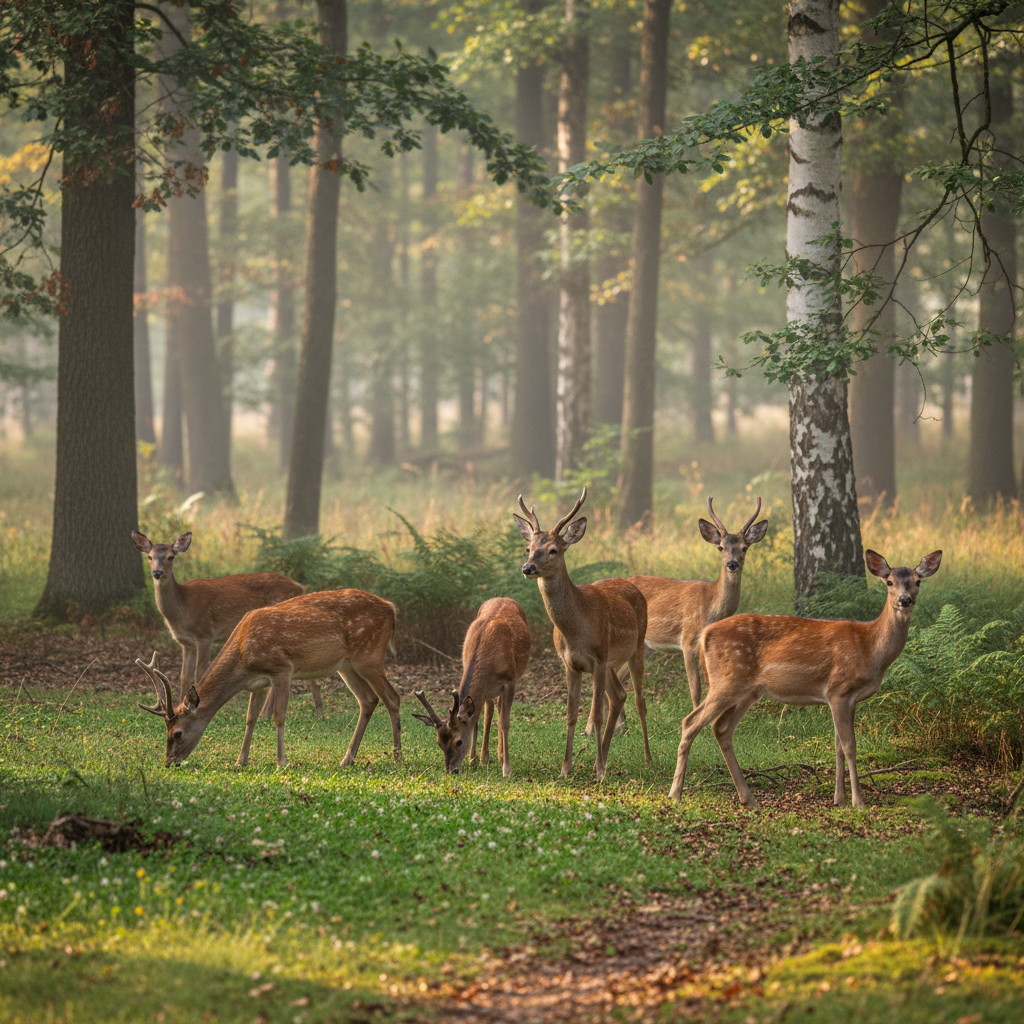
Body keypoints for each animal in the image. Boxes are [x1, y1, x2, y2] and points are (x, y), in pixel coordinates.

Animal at [131, 531, 323, 716]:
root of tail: (300, 587)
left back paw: (311, 713)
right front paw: (179, 706)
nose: (157, 573)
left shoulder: (205, 634)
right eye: (149, 556)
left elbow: (199, 672)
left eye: (171, 557)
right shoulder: (186, 643)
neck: (183, 607)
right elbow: (183, 676)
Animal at [136, 588, 402, 768]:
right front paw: (240, 760)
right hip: (346, 665)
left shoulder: (282, 668)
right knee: (368, 700)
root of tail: (392, 608)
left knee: (392, 697)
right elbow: (250, 718)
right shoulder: (258, 682)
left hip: (370, 656)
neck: (243, 655)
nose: (169, 761)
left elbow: (279, 716)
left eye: (177, 733)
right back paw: (347, 758)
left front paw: (282, 761)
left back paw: (397, 756)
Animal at [412, 597, 532, 777]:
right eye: (439, 743)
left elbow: (504, 722)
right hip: (488, 692)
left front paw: (507, 769)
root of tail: (504, 597)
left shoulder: (511, 681)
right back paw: (484, 758)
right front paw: (473, 760)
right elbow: (476, 720)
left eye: (459, 742)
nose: (451, 770)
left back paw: (499, 756)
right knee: (490, 711)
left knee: (498, 712)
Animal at [513, 486, 651, 782]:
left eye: (553, 550)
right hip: (611, 661)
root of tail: (631, 584)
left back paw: (645, 758)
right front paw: (566, 768)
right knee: (619, 696)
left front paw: (599, 772)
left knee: (639, 699)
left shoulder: (597, 660)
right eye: (528, 548)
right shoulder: (571, 664)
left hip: (637, 648)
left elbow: (596, 715)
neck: (576, 630)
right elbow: (571, 714)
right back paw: (605, 756)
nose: (528, 568)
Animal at [668, 549, 942, 809]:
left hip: (748, 691)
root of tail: (704, 635)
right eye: (889, 582)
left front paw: (839, 799)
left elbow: (837, 746)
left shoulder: (848, 699)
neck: (870, 647)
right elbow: (850, 746)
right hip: (726, 681)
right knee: (690, 722)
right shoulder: (838, 690)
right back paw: (675, 795)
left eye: (918, 581)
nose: (904, 600)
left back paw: (748, 798)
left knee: (721, 728)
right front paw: (858, 801)